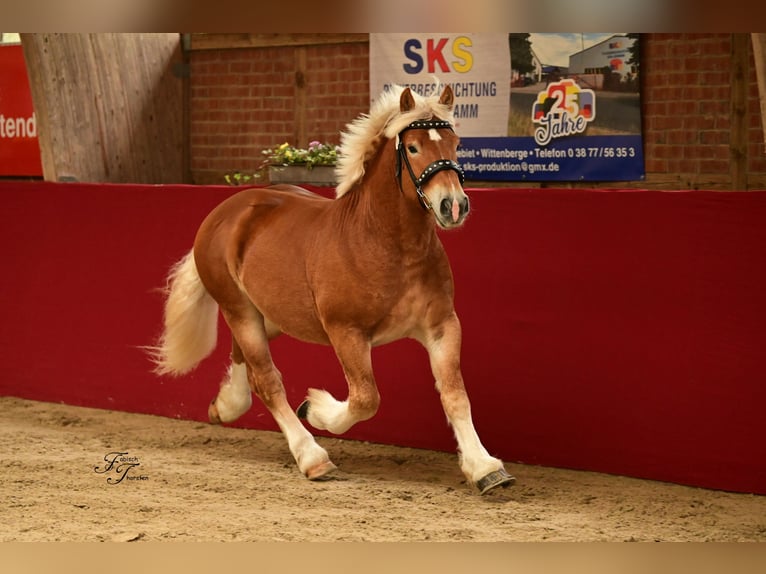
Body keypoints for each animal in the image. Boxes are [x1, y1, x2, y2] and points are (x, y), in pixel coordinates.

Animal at [152, 85, 516, 496]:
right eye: (412, 147)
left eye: (455, 143)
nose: (453, 206)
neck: (387, 244)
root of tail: (228, 210)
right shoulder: (347, 333)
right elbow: (365, 399)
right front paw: (315, 409)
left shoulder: (442, 327)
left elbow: (455, 395)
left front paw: (485, 468)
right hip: (239, 310)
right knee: (268, 380)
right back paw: (312, 457)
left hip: (270, 317)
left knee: (244, 361)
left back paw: (225, 406)